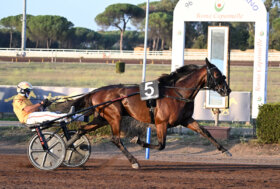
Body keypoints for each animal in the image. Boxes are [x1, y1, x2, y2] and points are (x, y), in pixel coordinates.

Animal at [64, 58, 231, 169]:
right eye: (217, 74)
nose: (227, 90)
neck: (177, 92)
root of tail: (95, 92)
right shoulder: (161, 123)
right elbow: (161, 145)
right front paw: (138, 140)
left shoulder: (186, 119)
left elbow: (205, 132)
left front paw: (225, 150)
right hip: (114, 116)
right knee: (116, 139)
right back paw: (134, 162)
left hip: (103, 118)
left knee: (81, 130)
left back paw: (68, 146)